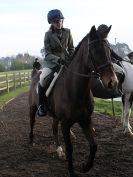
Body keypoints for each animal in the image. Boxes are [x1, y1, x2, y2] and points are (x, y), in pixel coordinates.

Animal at [28, 25, 117, 176]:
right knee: (32, 122)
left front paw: (85, 167)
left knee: (54, 128)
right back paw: (31, 141)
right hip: (33, 108)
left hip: (55, 116)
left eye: (109, 51)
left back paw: (59, 150)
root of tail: (36, 73)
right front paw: (71, 170)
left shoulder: (85, 120)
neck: (76, 89)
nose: (112, 82)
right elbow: (70, 148)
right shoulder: (65, 123)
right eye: (95, 52)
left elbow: (94, 145)